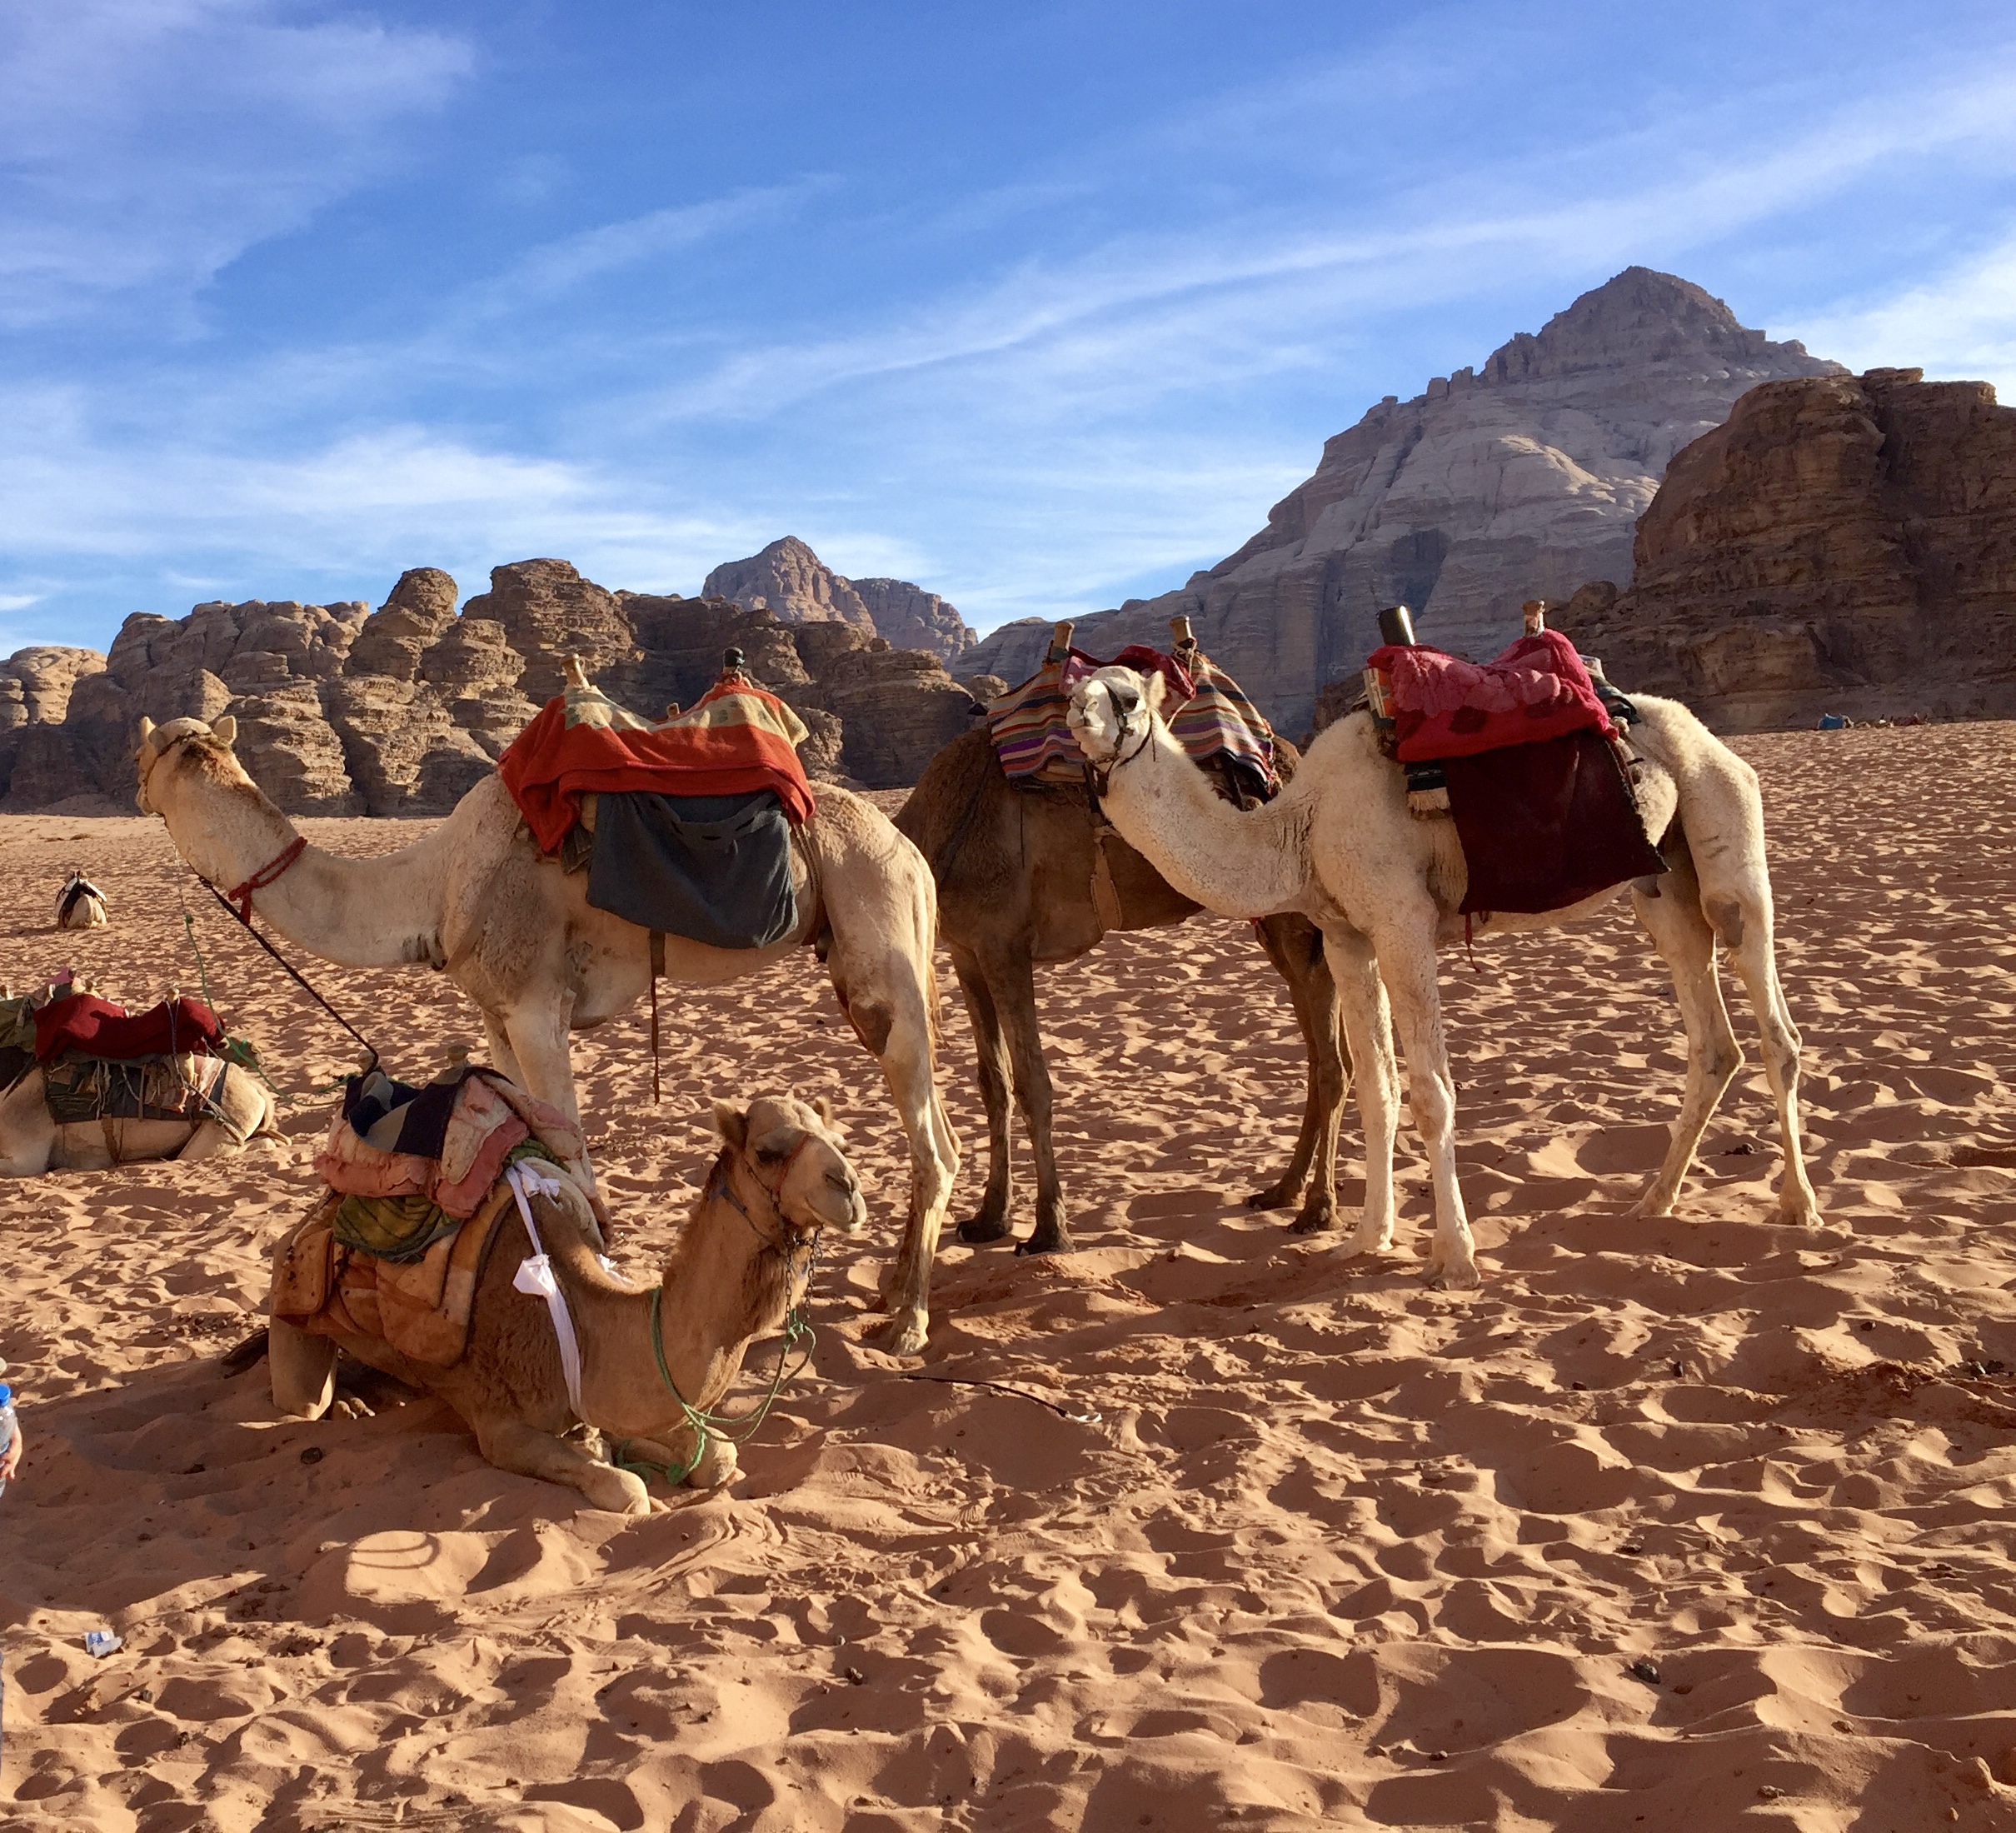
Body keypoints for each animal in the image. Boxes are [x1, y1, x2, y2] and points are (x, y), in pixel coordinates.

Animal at [137, 709, 963, 1355]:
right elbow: (530, 1139)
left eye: (156, 748)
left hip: (877, 934)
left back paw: (908, 1325)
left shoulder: (538, 1002)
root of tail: (912, 855)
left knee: (932, 1141)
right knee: (944, 1131)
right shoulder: (497, 1013)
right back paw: (890, 1289)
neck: (435, 887)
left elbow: (572, 1152)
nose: (135, 778)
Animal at [272, 1096, 862, 1508]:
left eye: (840, 1138)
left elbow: (718, 1455)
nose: (849, 1189)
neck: (580, 1315)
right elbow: (628, 1491)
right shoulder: (501, 1428)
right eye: (768, 1152)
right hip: (291, 1303)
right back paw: (348, 1404)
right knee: (303, 1398)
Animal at [895, 722, 1338, 1250]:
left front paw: (1049, 1231)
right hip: (1275, 922)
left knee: (1334, 1063)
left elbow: (1032, 1084)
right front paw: (988, 1220)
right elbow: (993, 1083)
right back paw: (1281, 1191)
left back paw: (1317, 1209)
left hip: (1301, 918)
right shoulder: (968, 951)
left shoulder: (1006, 946)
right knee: (1319, 1052)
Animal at [1072, 661, 1830, 1290]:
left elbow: (1431, 1093)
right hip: (1662, 885)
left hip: (1725, 827)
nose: (1081, 715)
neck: (1301, 828)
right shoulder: (1348, 936)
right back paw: (1654, 1200)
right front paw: (1366, 1239)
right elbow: (1376, 1088)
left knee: (1776, 1025)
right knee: (1713, 1040)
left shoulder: (1402, 921)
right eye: (1073, 688)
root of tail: (1705, 735)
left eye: (1127, 696)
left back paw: (1799, 1207)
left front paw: (1456, 1258)